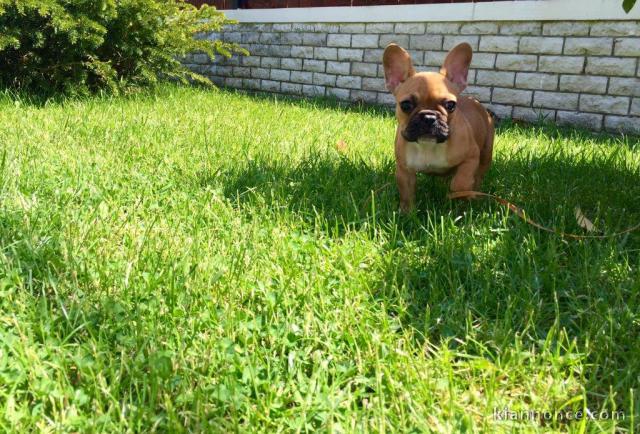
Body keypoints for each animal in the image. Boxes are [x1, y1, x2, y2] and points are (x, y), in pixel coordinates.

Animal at [380, 42, 496, 212]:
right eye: (406, 105)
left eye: (451, 105)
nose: (429, 117)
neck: (428, 146)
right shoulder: (404, 170)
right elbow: (406, 193)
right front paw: (407, 212)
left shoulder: (471, 156)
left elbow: (460, 183)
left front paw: (460, 194)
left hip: (486, 154)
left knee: (478, 176)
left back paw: (475, 194)